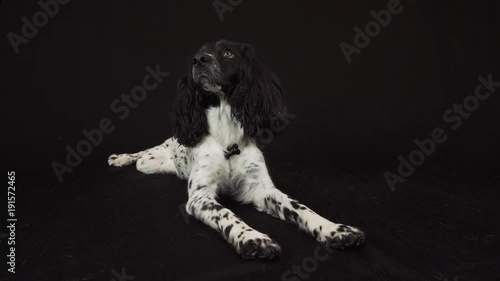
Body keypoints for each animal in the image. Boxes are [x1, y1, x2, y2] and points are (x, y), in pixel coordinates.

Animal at [107, 40, 366, 260]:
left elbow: (298, 206)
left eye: (227, 53)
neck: (226, 137)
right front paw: (253, 239)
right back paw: (119, 158)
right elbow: (227, 214)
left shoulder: (259, 187)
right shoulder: (200, 196)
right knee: (139, 156)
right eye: (197, 54)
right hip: (149, 162)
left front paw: (335, 229)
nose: (199, 60)